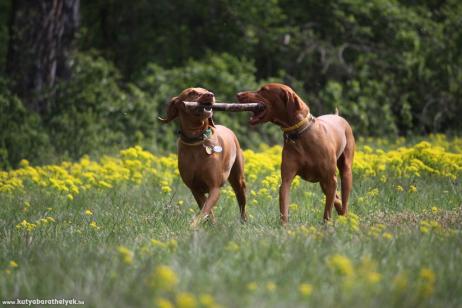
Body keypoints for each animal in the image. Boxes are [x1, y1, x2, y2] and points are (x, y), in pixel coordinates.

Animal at [159, 86, 247, 226]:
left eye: (206, 90)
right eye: (192, 93)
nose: (211, 94)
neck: (196, 139)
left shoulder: (214, 187)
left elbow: (205, 209)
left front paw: (193, 225)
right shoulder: (195, 189)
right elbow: (206, 209)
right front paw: (210, 224)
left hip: (238, 179)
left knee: (242, 201)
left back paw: (244, 221)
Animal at [236, 83, 356, 224]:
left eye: (264, 90)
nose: (238, 94)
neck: (300, 135)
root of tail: (337, 116)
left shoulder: (330, 179)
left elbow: (327, 212)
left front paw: (326, 226)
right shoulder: (286, 180)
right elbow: (284, 208)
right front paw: (284, 228)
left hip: (345, 172)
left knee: (343, 199)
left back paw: (345, 217)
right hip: (323, 181)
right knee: (335, 197)